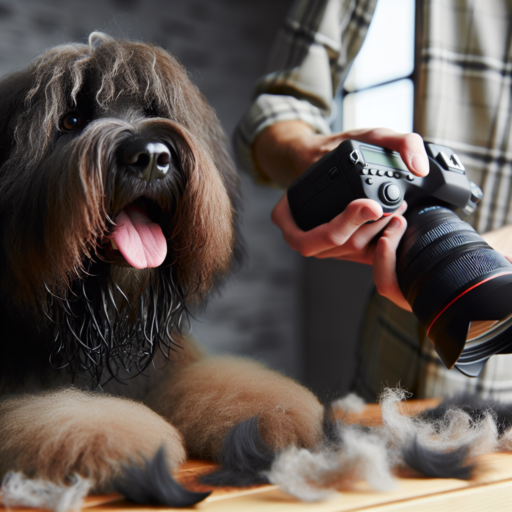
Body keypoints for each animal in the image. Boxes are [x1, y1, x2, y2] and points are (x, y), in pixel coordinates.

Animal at [0, 34, 324, 506]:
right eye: (71, 119)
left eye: (156, 108)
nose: (151, 156)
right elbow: (60, 413)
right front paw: (121, 440)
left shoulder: (171, 366)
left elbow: (224, 380)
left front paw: (272, 412)